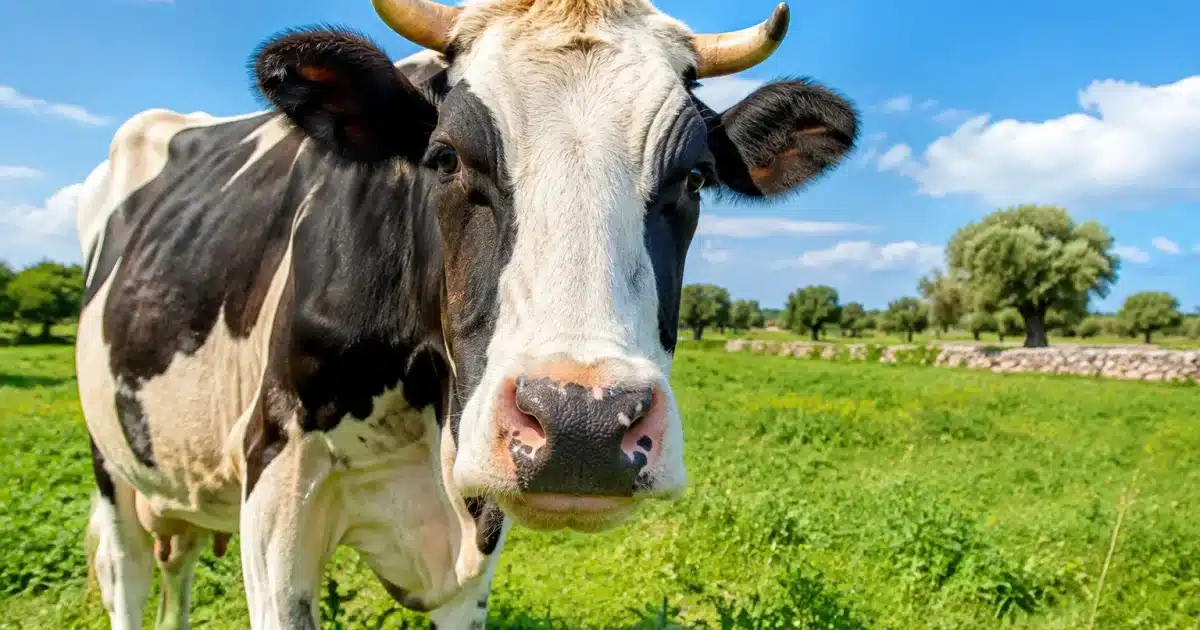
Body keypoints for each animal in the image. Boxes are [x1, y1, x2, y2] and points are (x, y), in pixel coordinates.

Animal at [74, 0, 858, 627]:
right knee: (130, 575)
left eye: (694, 177)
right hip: (113, 464)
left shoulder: (474, 545)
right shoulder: (276, 483)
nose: (583, 426)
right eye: (445, 157)